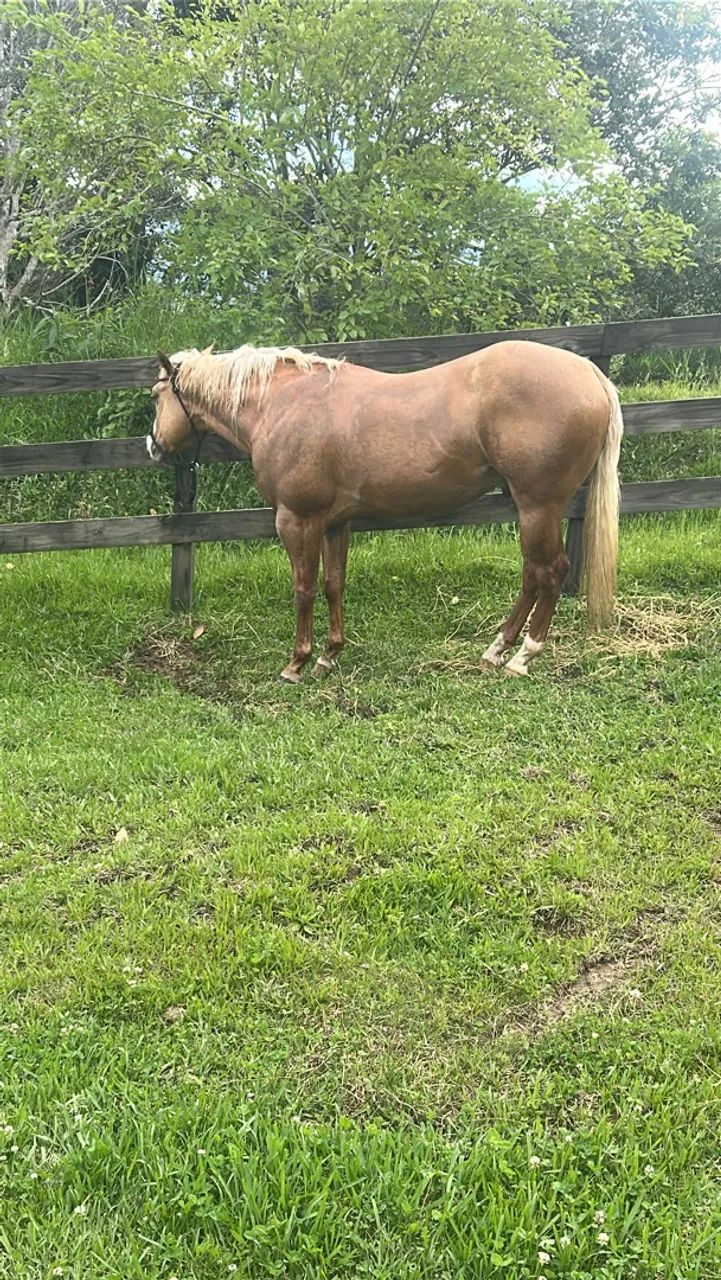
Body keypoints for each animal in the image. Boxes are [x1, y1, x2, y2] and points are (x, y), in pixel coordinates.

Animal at [147, 341, 623, 682]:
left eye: (156, 395)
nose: (152, 445)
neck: (281, 403)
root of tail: (591, 374)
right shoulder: (335, 524)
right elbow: (334, 585)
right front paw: (329, 656)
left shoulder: (297, 520)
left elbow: (304, 589)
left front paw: (297, 663)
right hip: (528, 509)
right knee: (531, 574)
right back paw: (496, 650)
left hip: (539, 506)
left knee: (551, 572)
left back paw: (523, 656)